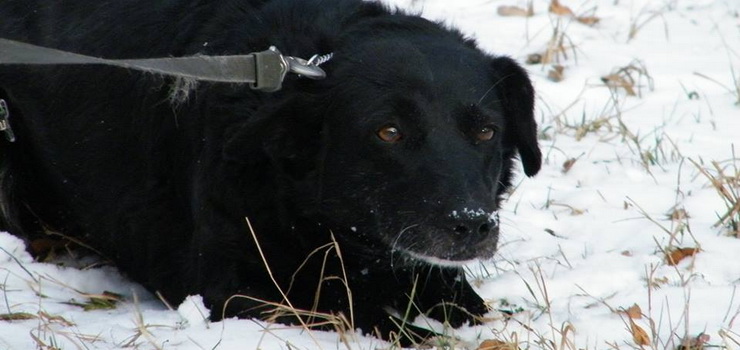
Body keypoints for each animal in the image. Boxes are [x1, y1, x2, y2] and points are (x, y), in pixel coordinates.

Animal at [0, 0, 544, 344]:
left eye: (485, 132)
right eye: (388, 132)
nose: (472, 224)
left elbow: (460, 300)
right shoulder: (233, 287)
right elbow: (361, 314)